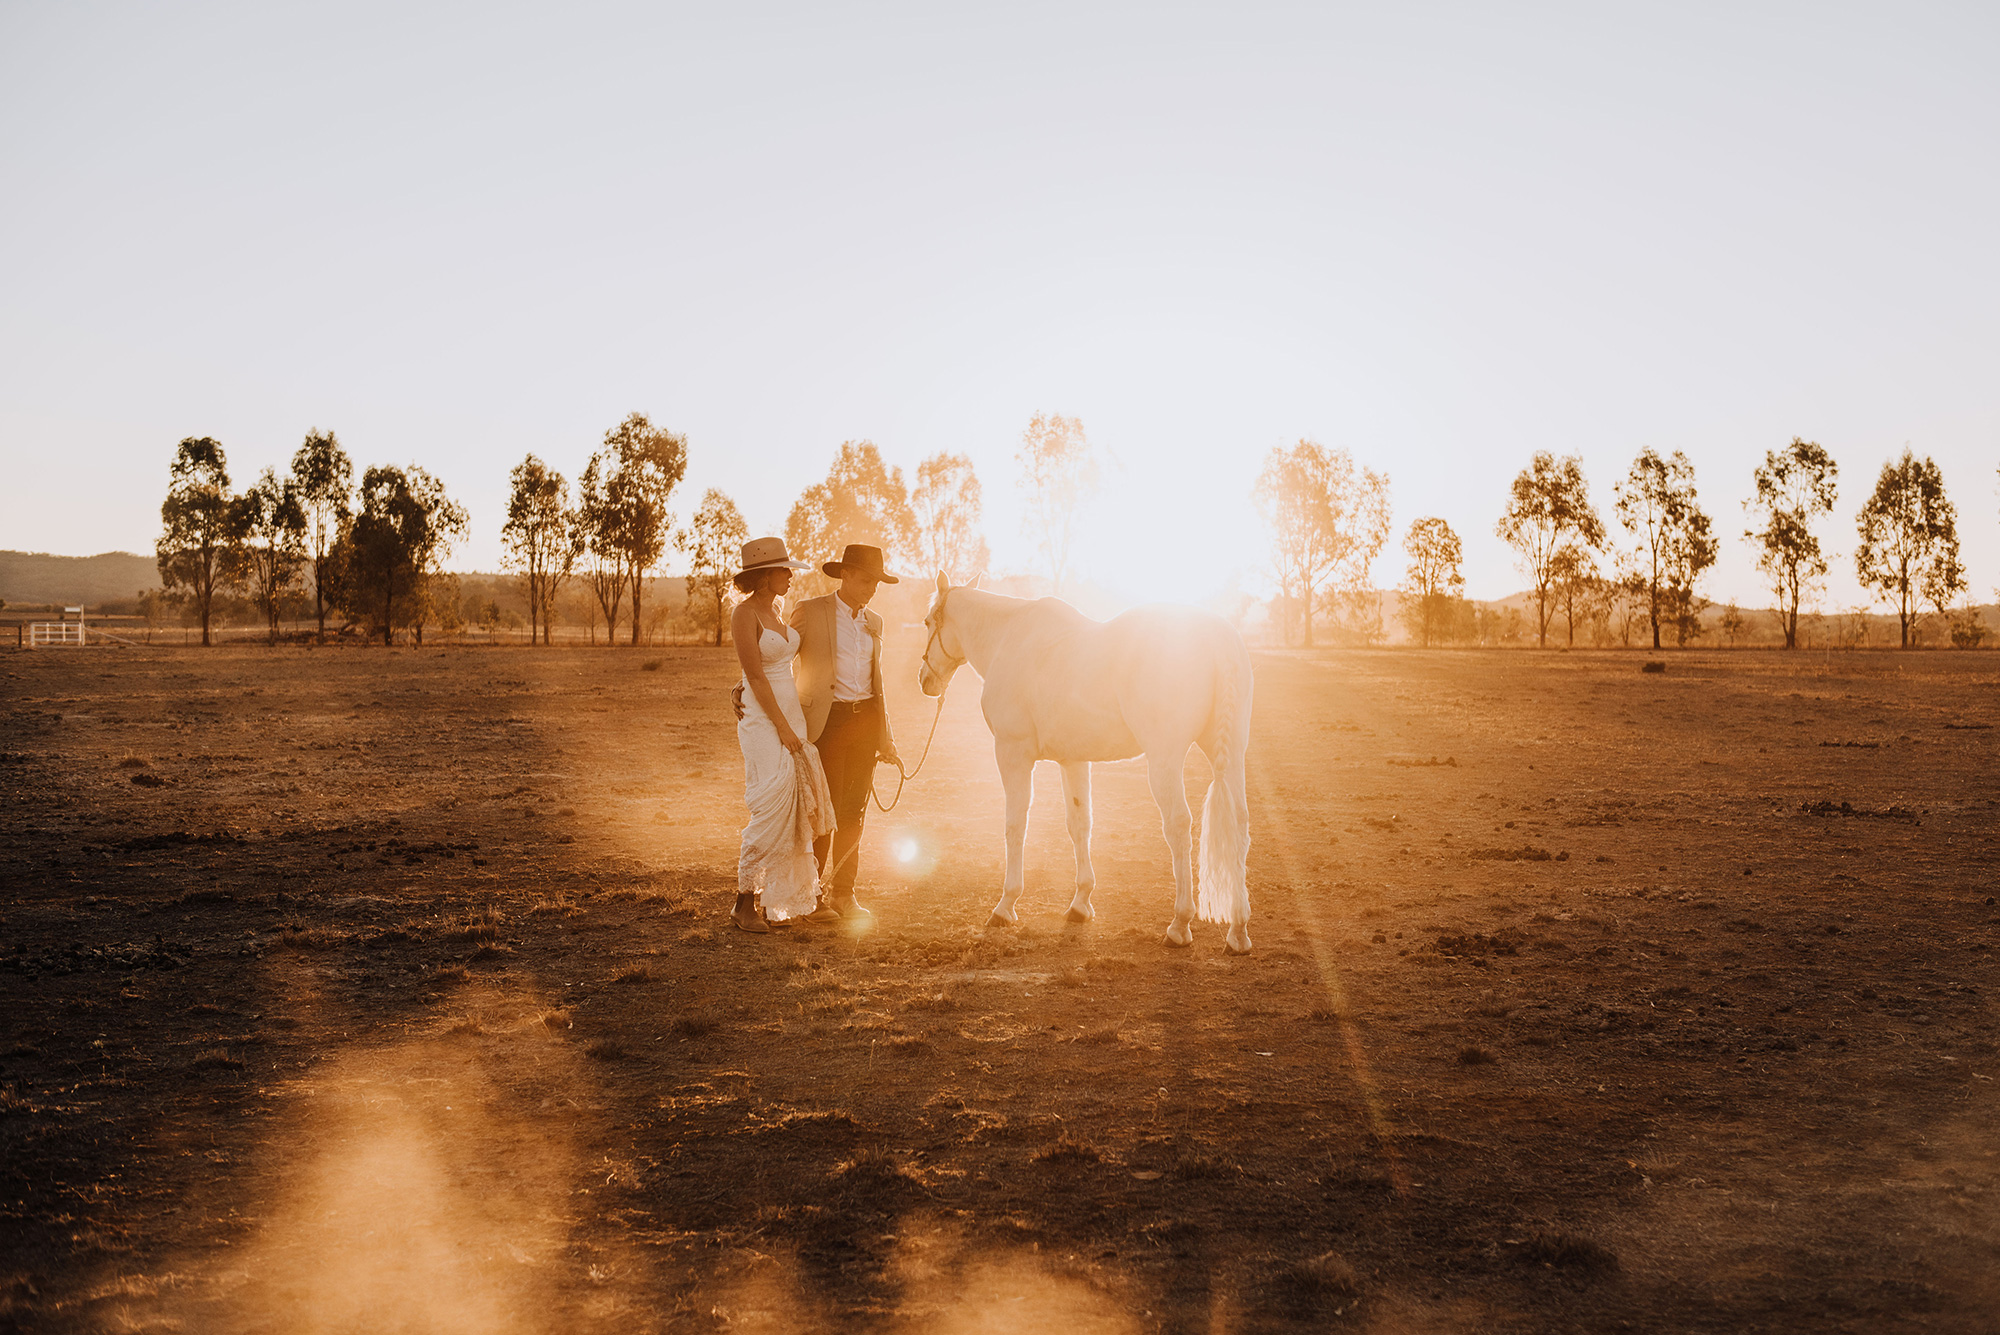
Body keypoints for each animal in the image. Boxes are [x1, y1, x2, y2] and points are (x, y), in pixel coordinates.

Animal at [916, 571, 1256, 947]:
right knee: (1239, 821)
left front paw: (1005, 905)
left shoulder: (1012, 753)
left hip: (1165, 759)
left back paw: (1180, 924)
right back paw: (1238, 930)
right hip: (1231, 754)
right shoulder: (1073, 761)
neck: (1008, 638)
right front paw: (1080, 904)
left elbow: (1015, 825)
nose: (925, 681)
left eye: (928, 621)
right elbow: (1080, 824)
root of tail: (1217, 640)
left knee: (1178, 825)